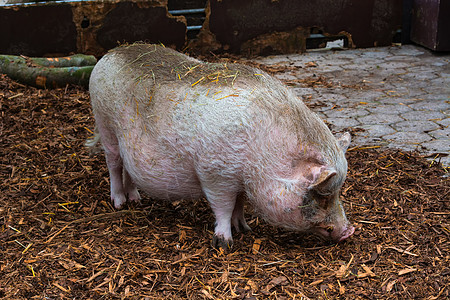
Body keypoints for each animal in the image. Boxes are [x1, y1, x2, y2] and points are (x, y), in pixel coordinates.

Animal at [87, 42, 356, 248]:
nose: (348, 231)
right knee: (113, 164)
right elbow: (223, 207)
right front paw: (225, 243)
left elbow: (239, 204)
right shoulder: (215, 174)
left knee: (128, 168)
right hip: (104, 122)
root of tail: (109, 54)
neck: (263, 154)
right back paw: (119, 203)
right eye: (321, 195)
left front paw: (245, 229)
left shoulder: (240, 182)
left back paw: (136, 200)